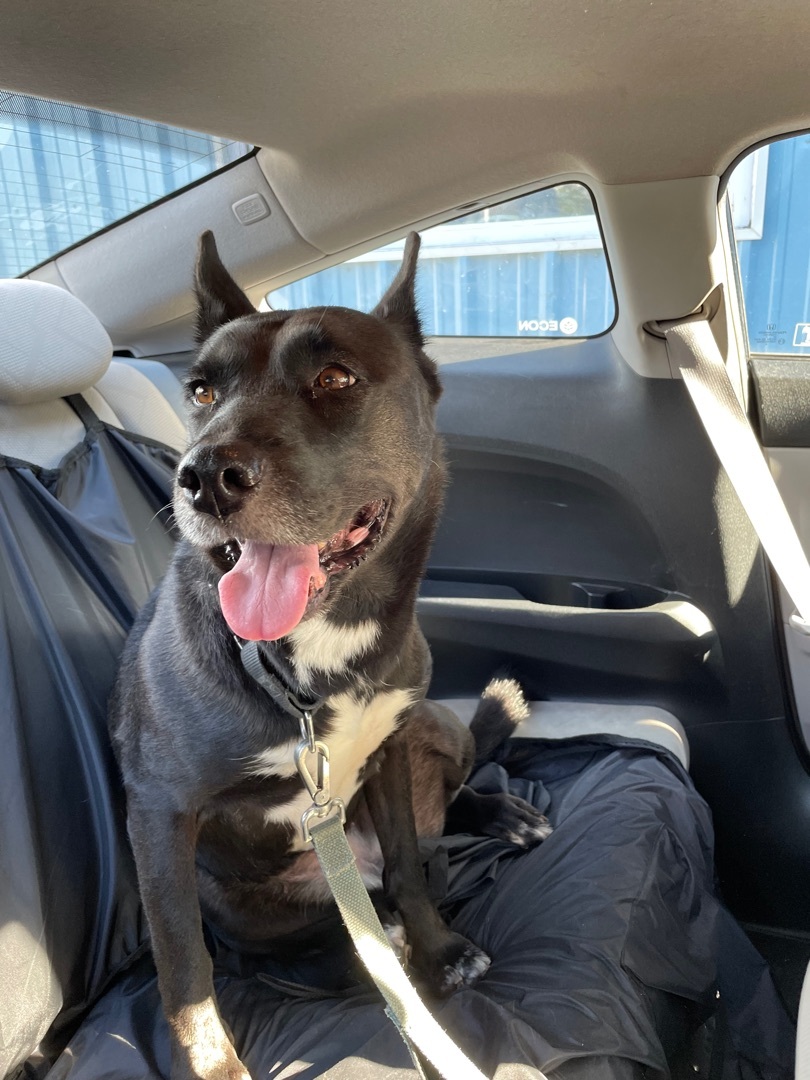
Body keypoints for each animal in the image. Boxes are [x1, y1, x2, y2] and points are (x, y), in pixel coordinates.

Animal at [109, 234, 552, 1080]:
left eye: (335, 378)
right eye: (201, 391)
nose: (204, 478)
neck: (311, 662)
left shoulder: (390, 746)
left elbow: (410, 863)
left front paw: (441, 950)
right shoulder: (158, 812)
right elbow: (186, 972)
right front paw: (216, 1068)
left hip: (433, 725)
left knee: (436, 820)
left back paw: (493, 820)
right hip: (240, 900)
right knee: (301, 942)